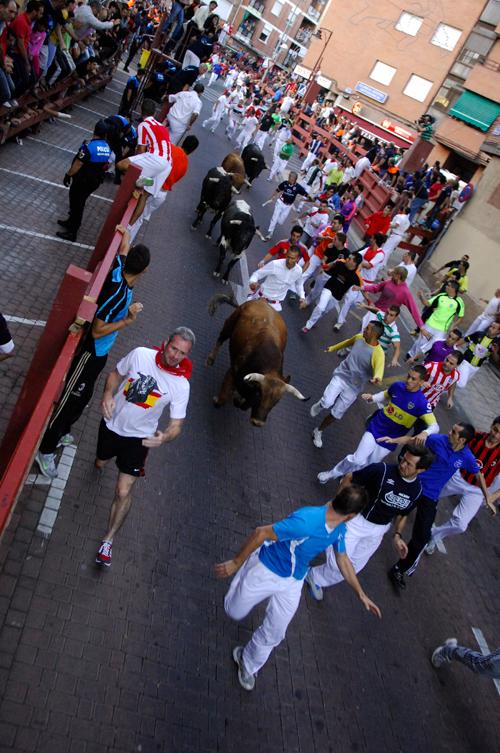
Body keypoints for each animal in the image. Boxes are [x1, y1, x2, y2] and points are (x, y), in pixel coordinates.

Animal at [205, 294, 306, 424]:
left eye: (276, 401)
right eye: (259, 394)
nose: (258, 422)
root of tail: (261, 301)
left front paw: (237, 398)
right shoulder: (233, 372)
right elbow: (222, 399)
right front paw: (217, 400)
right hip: (229, 324)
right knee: (221, 339)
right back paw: (210, 359)